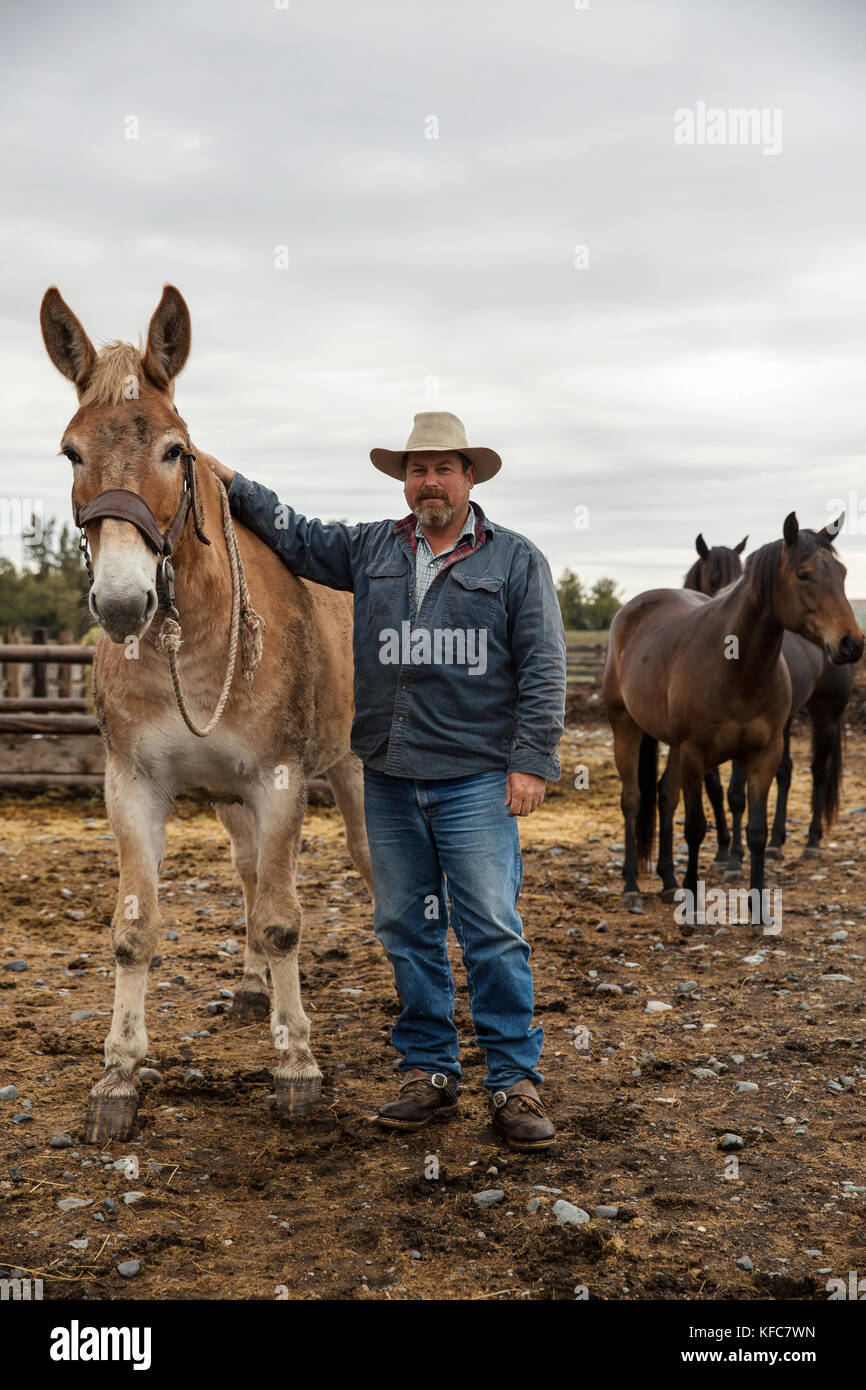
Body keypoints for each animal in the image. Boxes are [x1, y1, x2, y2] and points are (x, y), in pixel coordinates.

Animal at [41, 282, 372, 1139]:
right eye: (71, 452)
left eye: (174, 451)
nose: (123, 602)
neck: (186, 641)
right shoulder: (133, 785)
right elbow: (135, 930)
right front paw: (119, 1074)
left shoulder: (280, 781)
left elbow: (285, 916)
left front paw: (296, 1063)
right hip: (229, 799)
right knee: (250, 873)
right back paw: (256, 984)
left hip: (351, 772)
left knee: (366, 866)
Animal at [686, 530, 856, 867]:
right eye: (713, 578)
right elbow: (715, 789)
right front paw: (722, 850)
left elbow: (736, 795)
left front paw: (736, 857)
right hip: (785, 723)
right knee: (785, 772)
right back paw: (777, 840)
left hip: (826, 715)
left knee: (819, 771)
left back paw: (812, 842)